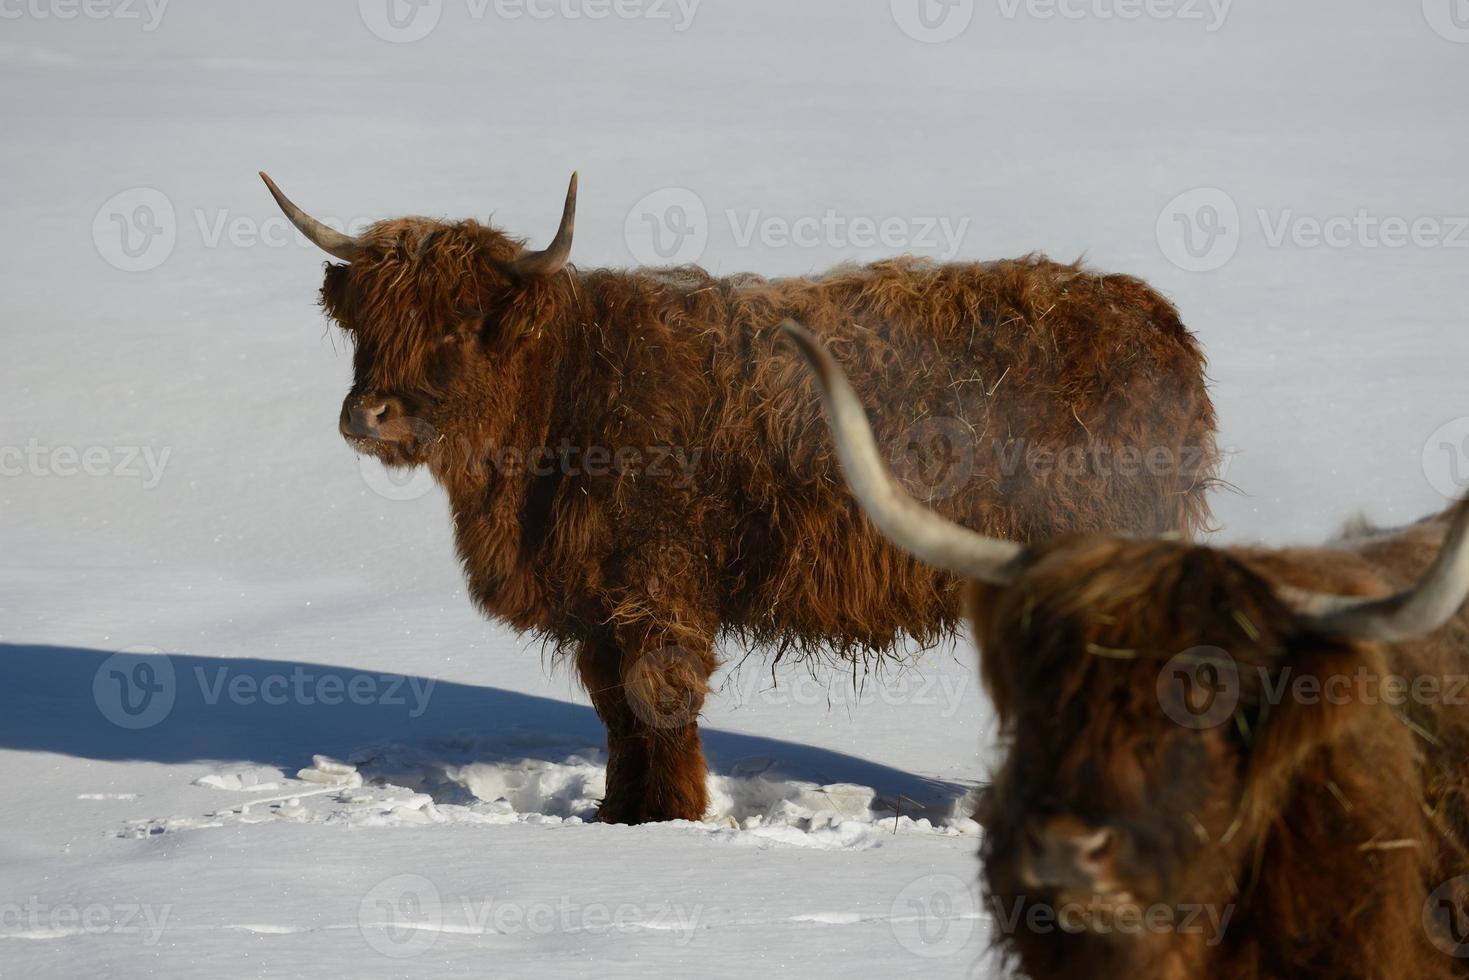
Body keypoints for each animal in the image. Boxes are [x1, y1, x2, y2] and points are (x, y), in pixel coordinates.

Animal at [261, 172, 1216, 822]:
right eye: (367, 326)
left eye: (458, 325)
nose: (368, 414)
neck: (561, 398)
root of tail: (1147, 315)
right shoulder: (596, 604)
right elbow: (614, 711)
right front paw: (618, 815)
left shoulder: (657, 585)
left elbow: (659, 698)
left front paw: (673, 818)